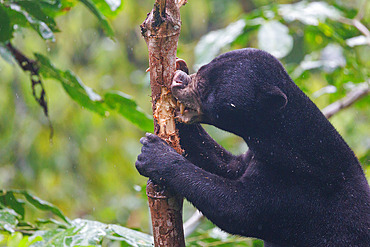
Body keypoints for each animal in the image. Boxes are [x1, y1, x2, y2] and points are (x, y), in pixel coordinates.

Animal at [137, 48, 370, 247]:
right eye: (201, 69)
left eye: (203, 87)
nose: (179, 80)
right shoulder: (256, 157)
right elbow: (227, 165)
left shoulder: (298, 190)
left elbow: (236, 208)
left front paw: (154, 155)